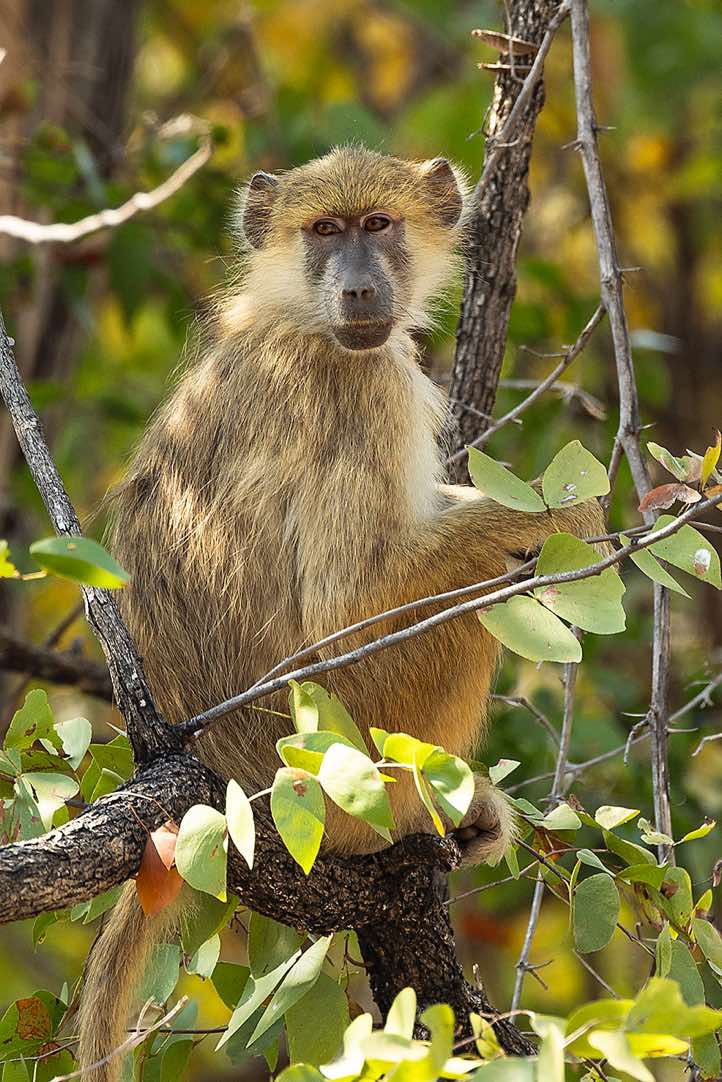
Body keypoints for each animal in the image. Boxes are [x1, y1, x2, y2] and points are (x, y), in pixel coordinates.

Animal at [77, 146, 609, 1080]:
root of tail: (236, 796)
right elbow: (346, 604)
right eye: (324, 230)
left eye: (378, 225)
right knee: (467, 613)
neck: (295, 315)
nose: (360, 289)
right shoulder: (359, 386)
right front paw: (571, 516)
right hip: (349, 778)